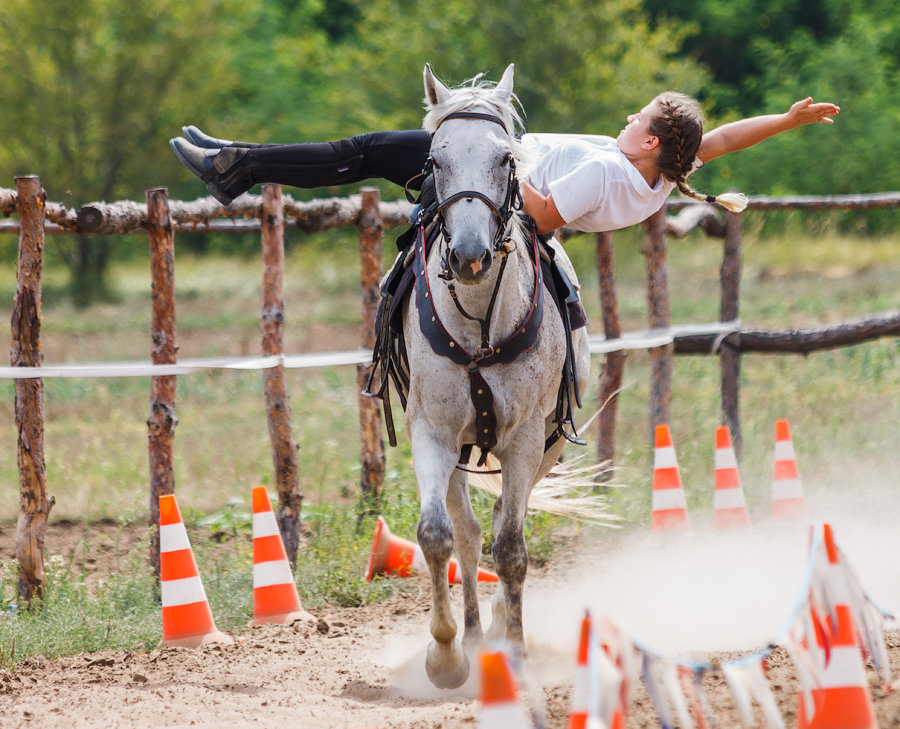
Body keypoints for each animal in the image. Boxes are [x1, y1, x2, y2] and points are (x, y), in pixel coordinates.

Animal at [400, 64, 592, 688]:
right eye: (434, 160)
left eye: (506, 159)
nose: (469, 255)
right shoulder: (432, 433)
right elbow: (438, 536)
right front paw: (445, 655)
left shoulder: (527, 440)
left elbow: (511, 548)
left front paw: (517, 650)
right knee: (466, 532)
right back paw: (473, 636)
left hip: (545, 450)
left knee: (509, 522)